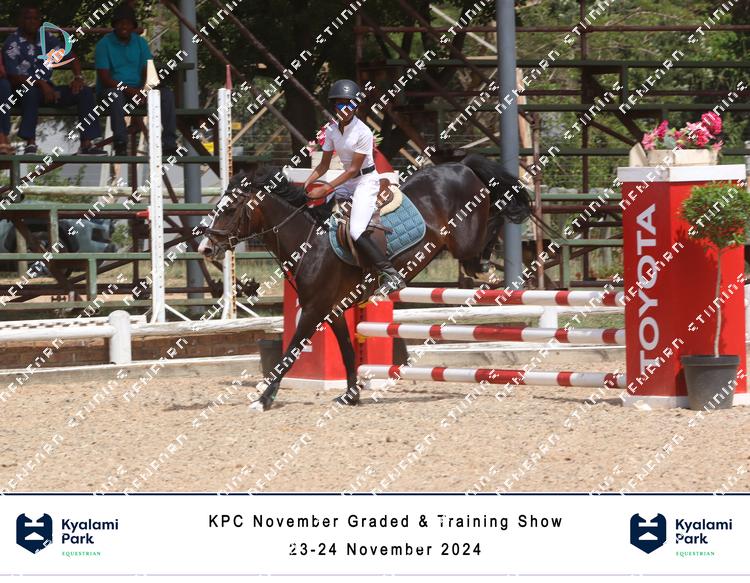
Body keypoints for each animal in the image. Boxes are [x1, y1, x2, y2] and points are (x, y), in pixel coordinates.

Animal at [199, 153, 531, 411]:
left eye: (228, 209)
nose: (205, 248)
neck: (309, 241)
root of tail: (461, 166)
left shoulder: (314, 309)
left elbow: (290, 352)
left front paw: (263, 399)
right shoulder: (331, 310)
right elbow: (347, 353)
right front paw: (350, 396)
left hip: (464, 239)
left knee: (493, 222)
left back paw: (486, 262)